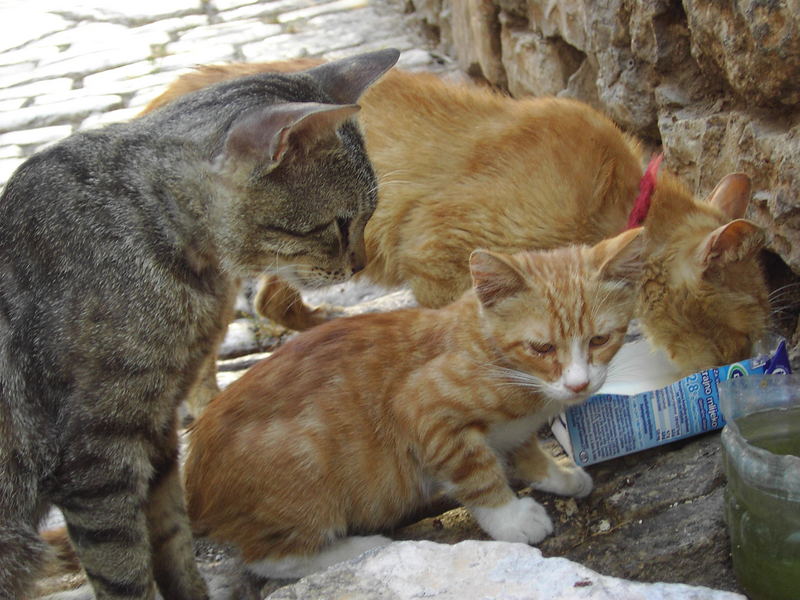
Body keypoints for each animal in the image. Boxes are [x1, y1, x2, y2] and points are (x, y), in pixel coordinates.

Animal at [0, 48, 400, 600]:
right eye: (339, 224)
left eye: (368, 217)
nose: (360, 265)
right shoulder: (96, 457)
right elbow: (125, 571)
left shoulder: (157, 429)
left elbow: (173, 541)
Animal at [183, 227, 644, 580]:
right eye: (542, 347)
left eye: (600, 339)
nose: (579, 384)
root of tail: (194, 479)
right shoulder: (421, 409)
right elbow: (478, 474)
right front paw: (512, 518)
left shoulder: (516, 428)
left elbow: (526, 450)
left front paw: (560, 475)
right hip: (303, 470)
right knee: (268, 558)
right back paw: (360, 547)